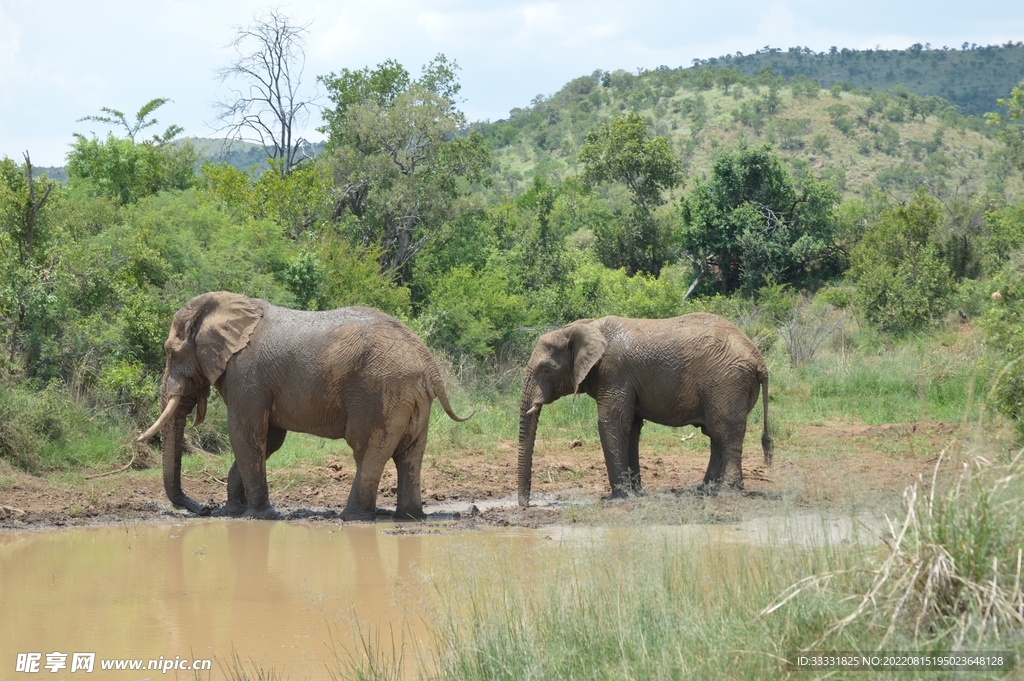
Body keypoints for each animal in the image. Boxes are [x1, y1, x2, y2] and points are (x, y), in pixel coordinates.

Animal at [137, 291, 469, 520]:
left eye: (171, 352)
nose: (204, 510)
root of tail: (427, 362)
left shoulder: (247, 374)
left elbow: (246, 433)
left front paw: (259, 517)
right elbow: (269, 439)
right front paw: (232, 513)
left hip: (380, 392)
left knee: (366, 448)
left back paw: (352, 518)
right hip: (412, 399)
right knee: (409, 455)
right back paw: (410, 517)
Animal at [517, 312, 772, 507]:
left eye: (546, 369)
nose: (526, 505)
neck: (585, 326)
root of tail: (759, 360)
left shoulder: (614, 373)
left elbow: (613, 423)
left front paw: (618, 498)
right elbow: (631, 427)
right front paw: (636, 493)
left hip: (727, 382)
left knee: (725, 432)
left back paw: (727, 491)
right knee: (716, 433)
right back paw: (705, 489)